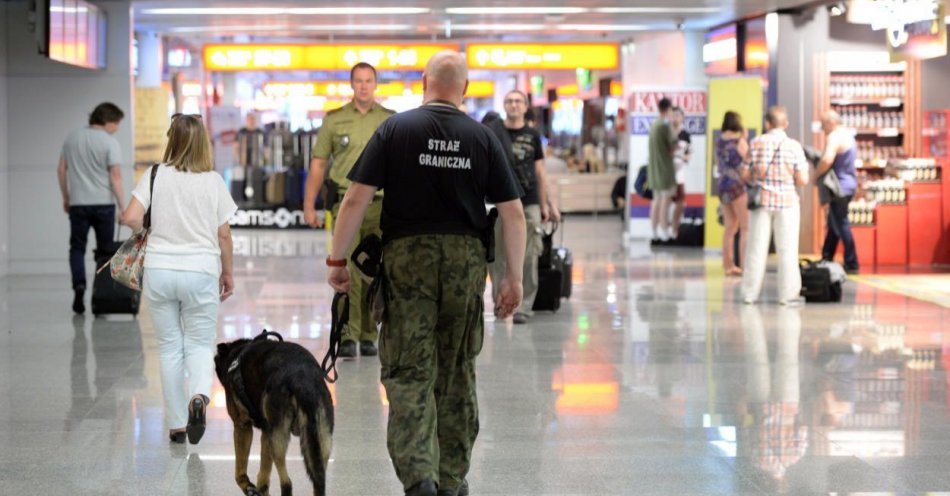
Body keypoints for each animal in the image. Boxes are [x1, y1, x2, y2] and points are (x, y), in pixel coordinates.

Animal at [216, 334, 334, 496]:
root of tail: (303, 379)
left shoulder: (243, 427)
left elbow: (240, 469)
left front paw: (248, 486)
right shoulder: (266, 433)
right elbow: (263, 477)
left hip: (277, 440)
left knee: (287, 483)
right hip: (321, 442)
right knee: (318, 482)